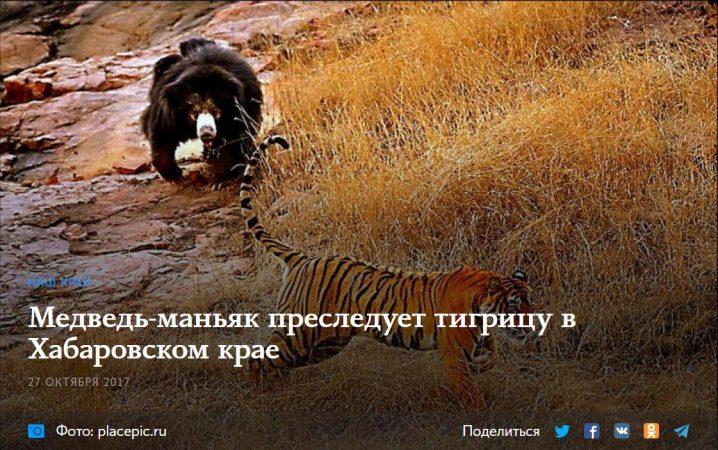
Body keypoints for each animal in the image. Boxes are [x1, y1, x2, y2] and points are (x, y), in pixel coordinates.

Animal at [141, 37, 263, 182]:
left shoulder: (244, 109)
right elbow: (163, 134)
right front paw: (174, 175)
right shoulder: (168, 111)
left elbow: (238, 138)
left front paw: (225, 173)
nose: (206, 132)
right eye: (194, 113)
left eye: (216, 112)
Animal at [239, 136, 534, 409]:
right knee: (257, 358)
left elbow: (493, 355)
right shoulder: (453, 353)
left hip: (326, 345)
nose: (530, 328)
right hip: (299, 335)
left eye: (530, 306)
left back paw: (278, 385)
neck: (483, 308)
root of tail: (303, 257)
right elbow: (469, 391)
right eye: (513, 307)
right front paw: (480, 412)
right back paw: (257, 396)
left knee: (277, 361)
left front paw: (482, 366)